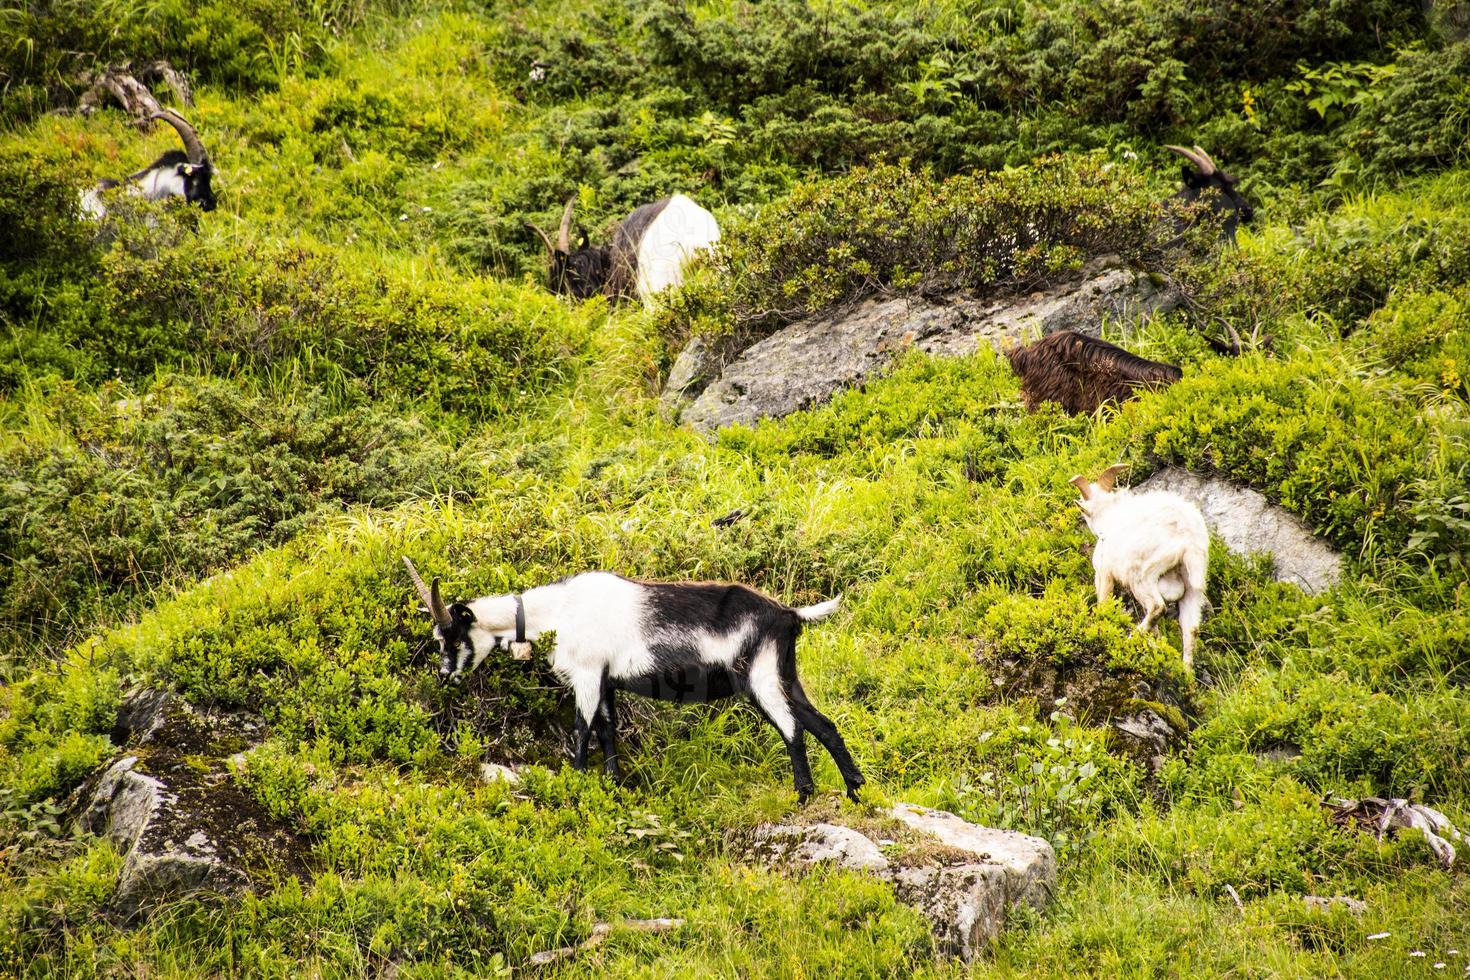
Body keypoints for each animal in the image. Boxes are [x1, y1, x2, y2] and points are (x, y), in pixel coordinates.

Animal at [402, 558, 858, 805]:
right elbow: (607, 731)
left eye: (454, 636)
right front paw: (613, 787)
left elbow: (582, 730)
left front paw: (575, 785)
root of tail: (788, 614)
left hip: (759, 676)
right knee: (823, 724)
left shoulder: (587, 674)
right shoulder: (606, 682)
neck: (560, 611)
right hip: (785, 674)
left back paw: (802, 795)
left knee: (792, 728)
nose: (444, 675)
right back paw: (856, 789)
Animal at [1070, 464, 1205, 669]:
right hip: (1192, 585)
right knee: (1191, 628)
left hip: (1142, 576)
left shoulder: (1104, 574)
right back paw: (1184, 672)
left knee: (1157, 607)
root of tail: (1187, 535)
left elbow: (1103, 603)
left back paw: (1130, 640)